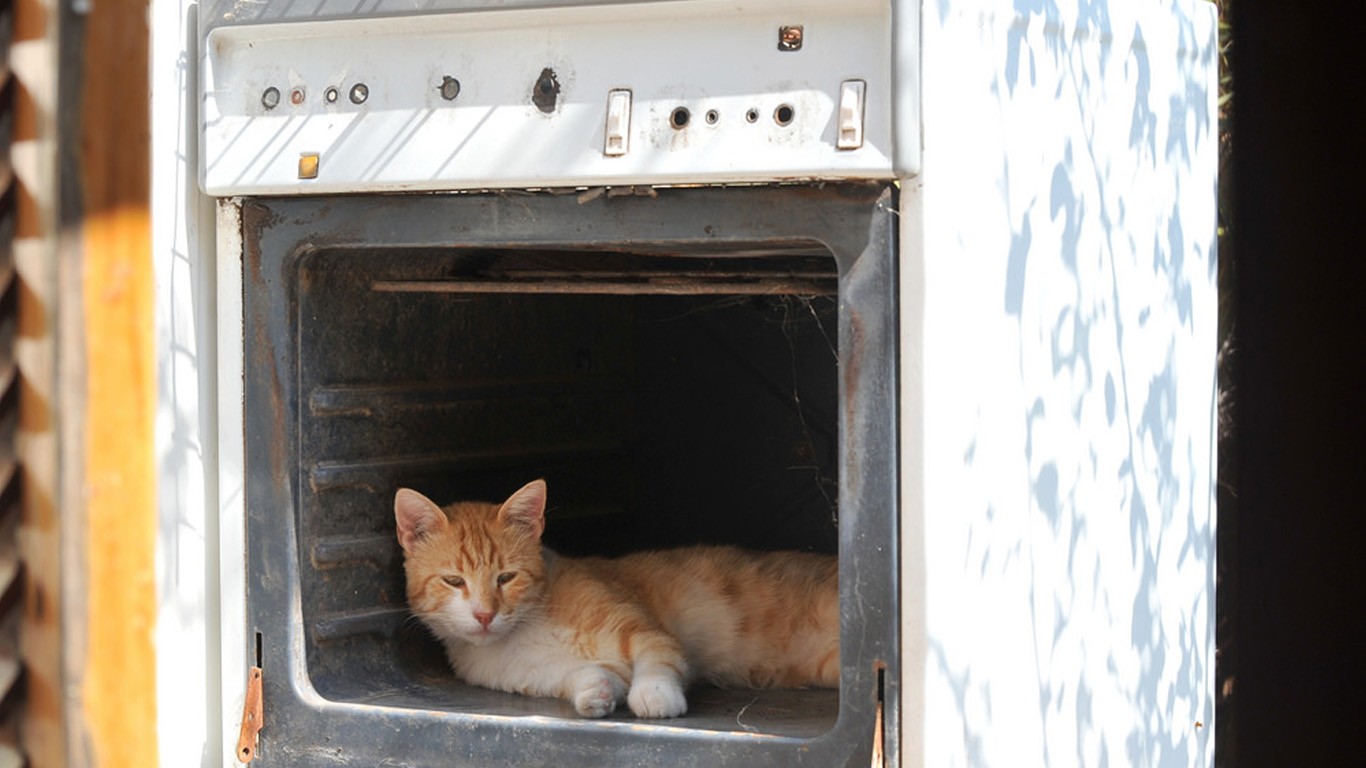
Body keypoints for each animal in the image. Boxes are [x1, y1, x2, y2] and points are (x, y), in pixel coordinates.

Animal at [396, 475, 835, 716]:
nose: (485, 615)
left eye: (506, 577)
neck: (522, 632)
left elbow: (659, 658)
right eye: (454, 581)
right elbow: (585, 676)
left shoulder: (642, 627)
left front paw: (656, 695)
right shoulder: (540, 675)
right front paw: (595, 692)